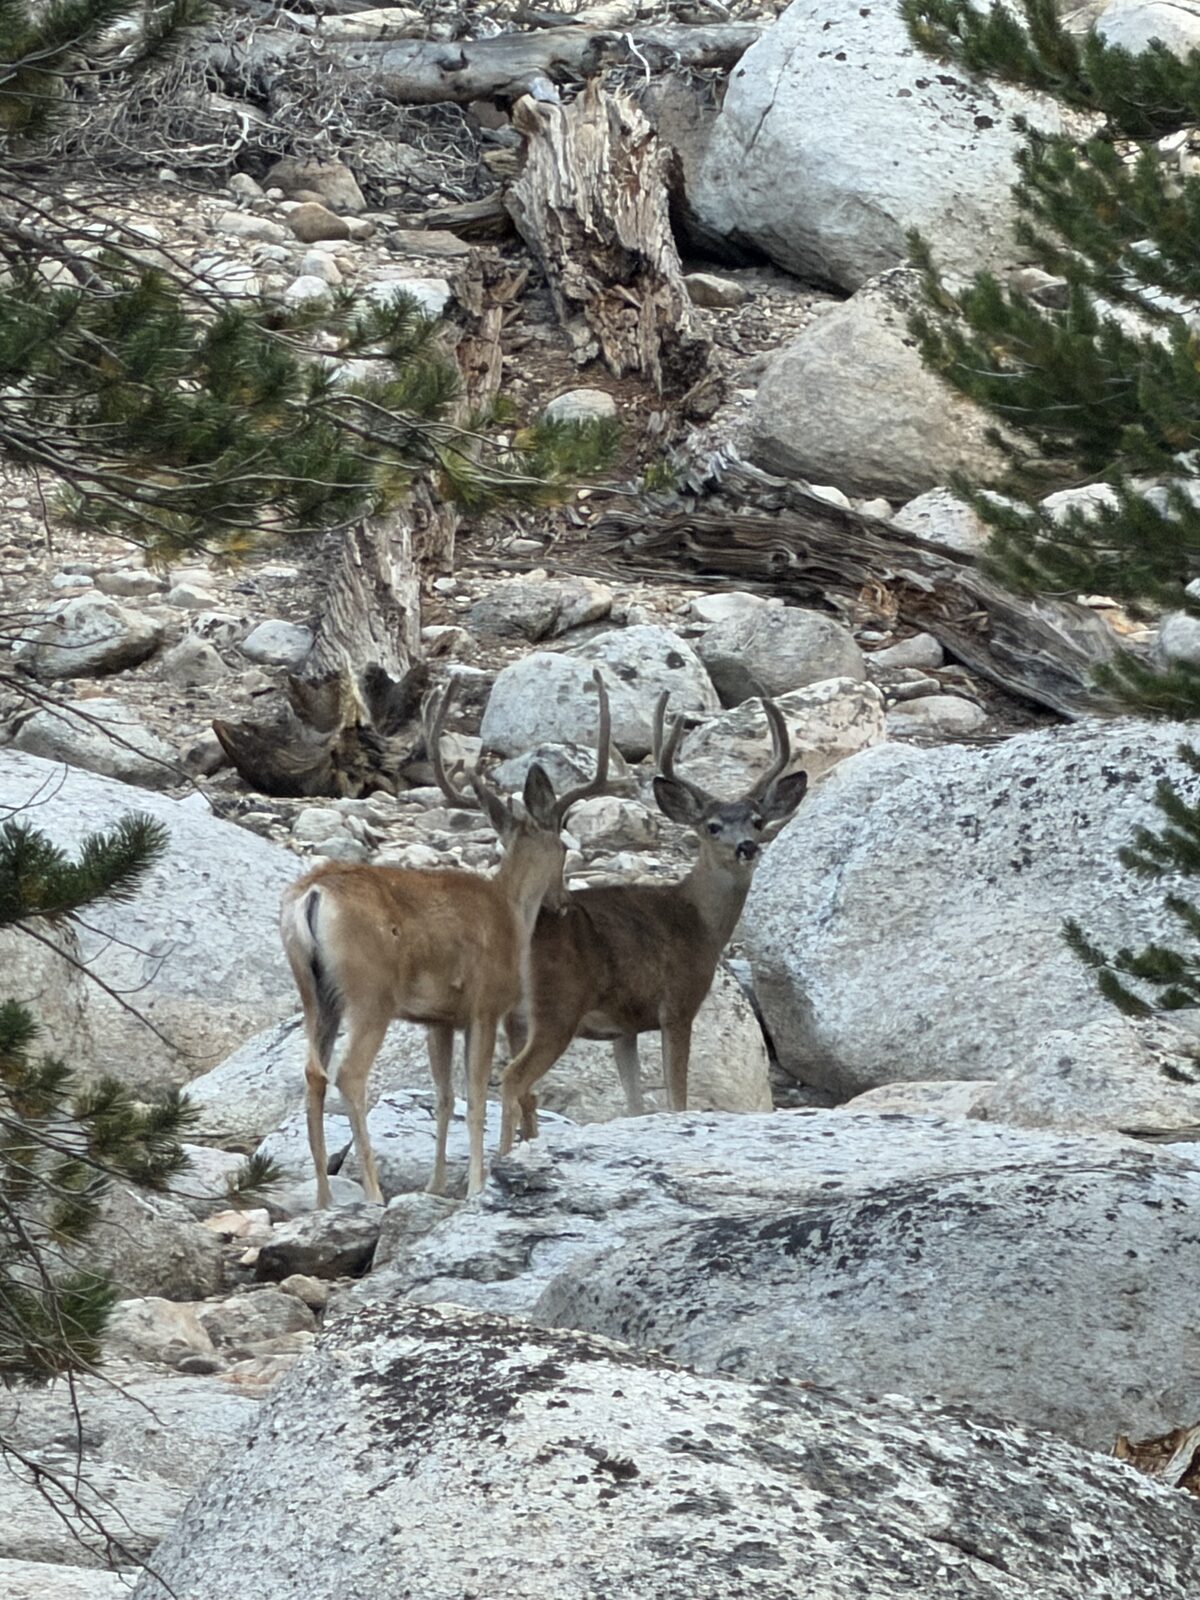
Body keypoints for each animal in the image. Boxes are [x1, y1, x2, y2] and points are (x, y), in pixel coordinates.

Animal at [279, 672, 612, 1205]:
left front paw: (436, 1187)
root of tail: (311, 893)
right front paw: (477, 1184)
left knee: (313, 1072)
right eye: (564, 846)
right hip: (370, 992)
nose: (562, 901)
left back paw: (325, 1200)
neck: (510, 909)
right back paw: (372, 1193)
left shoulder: (438, 1019)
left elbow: (443, 1097)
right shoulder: (485, 1005)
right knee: (350, 1075)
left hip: (313, 991)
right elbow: (477, 1095)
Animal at [497, 694, 808, 1157]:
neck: (697, 919)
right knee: (512, 1079)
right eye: (712, 826)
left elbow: (635, 1105)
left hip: (513, 1019)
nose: (746, 847)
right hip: (556, 1010)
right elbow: (677, 1099)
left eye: (756, 820)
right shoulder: (678, 1004)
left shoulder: (623, 1028)